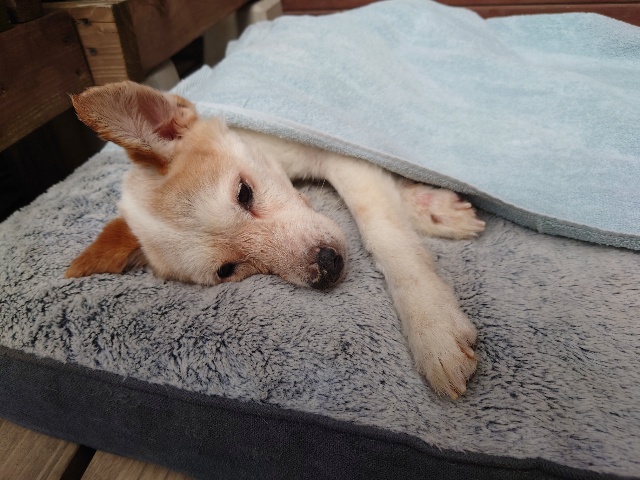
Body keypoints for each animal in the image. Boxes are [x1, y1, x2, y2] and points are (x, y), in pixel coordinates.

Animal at [66, 81, 485, 399]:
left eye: (244, 193)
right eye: (227, 270)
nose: (327, 269)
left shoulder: (342, 155)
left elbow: (385, 231)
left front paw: (433, 328)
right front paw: (431, 208)